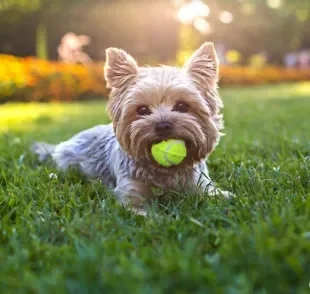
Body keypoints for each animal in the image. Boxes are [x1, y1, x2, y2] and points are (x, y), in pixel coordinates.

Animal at [32, 42, 234, 215]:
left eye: (182, 106)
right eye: (142, 110)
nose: (163, 124)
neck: (164, 171)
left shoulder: (200, 183)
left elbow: (215, 194)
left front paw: (226, 198)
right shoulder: (131, 192)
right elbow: (139, 211)